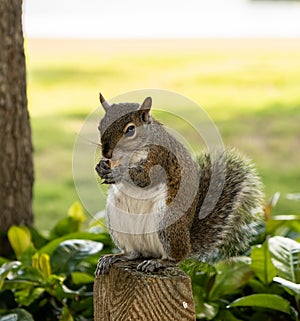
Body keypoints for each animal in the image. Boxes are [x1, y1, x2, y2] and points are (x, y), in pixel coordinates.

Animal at [95, 94, 264, 274]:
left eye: (130, 130)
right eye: (100, 126)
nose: (107, 153)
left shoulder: (159, 156)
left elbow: (145, 178)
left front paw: (117, 172)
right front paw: (101, 167)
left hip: (167, 221)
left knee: (176, 257)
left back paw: (158, 262)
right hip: (117, 221)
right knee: (133, 253)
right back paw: (114, 257)